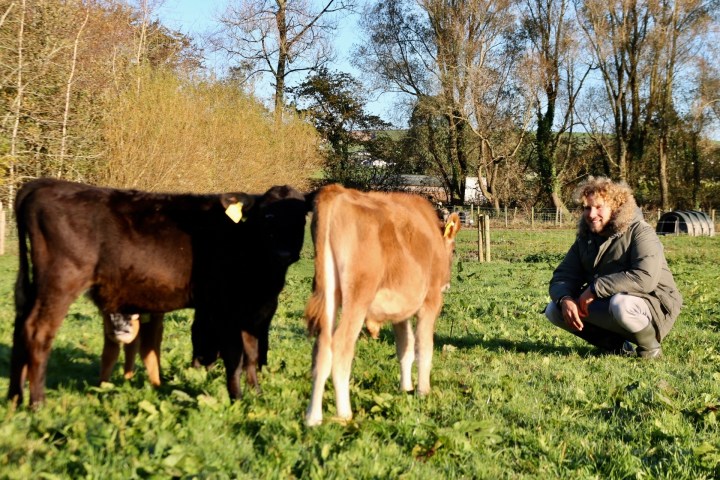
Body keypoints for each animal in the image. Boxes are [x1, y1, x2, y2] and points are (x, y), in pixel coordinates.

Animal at [10, 178, 312, 407]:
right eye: (267, 216)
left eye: (301, 217)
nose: (285, 253)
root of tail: (44, 184)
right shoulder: (224, 310)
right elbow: (234, 357)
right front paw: (236, 398)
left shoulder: (253, 313)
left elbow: (252, 355)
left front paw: (257, 395)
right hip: (60, 282)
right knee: (38, 332)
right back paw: (37, 403)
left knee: (20, 329)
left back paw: (15, 398)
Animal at [303, 184, 461, 426]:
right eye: (453, 251)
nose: (447, 284)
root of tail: (337, 193)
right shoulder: (430, 300)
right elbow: (424, 346)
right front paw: (423, 391)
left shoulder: (400, 310)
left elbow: (405, 347)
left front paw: (406, 388)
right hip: (358, 296)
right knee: (341, 345)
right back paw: (345, 413)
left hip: (328, 290)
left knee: (321, 347)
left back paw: (313, 417)